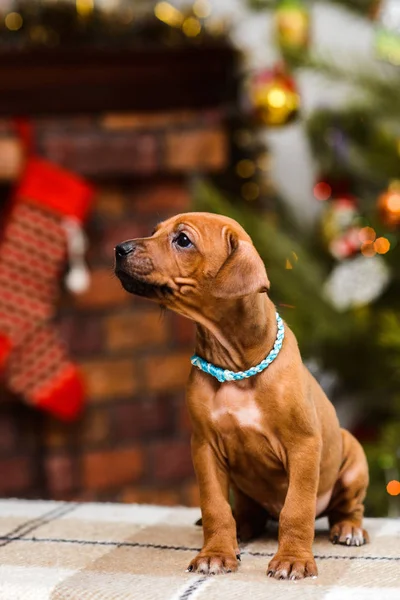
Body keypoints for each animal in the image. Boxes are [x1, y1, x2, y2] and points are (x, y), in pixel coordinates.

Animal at [115, 212, 368, 580]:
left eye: (183, 240)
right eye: (154, 231)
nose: (119, 249)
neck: (236, 366)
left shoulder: (303, 444)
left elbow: (297, 507)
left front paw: (293, 559)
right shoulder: (204, 446)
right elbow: (215, 505)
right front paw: (216, 553)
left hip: (353, 458)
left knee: (348, 507)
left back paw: (349, 528)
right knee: (246, 512)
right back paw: (242, 527)